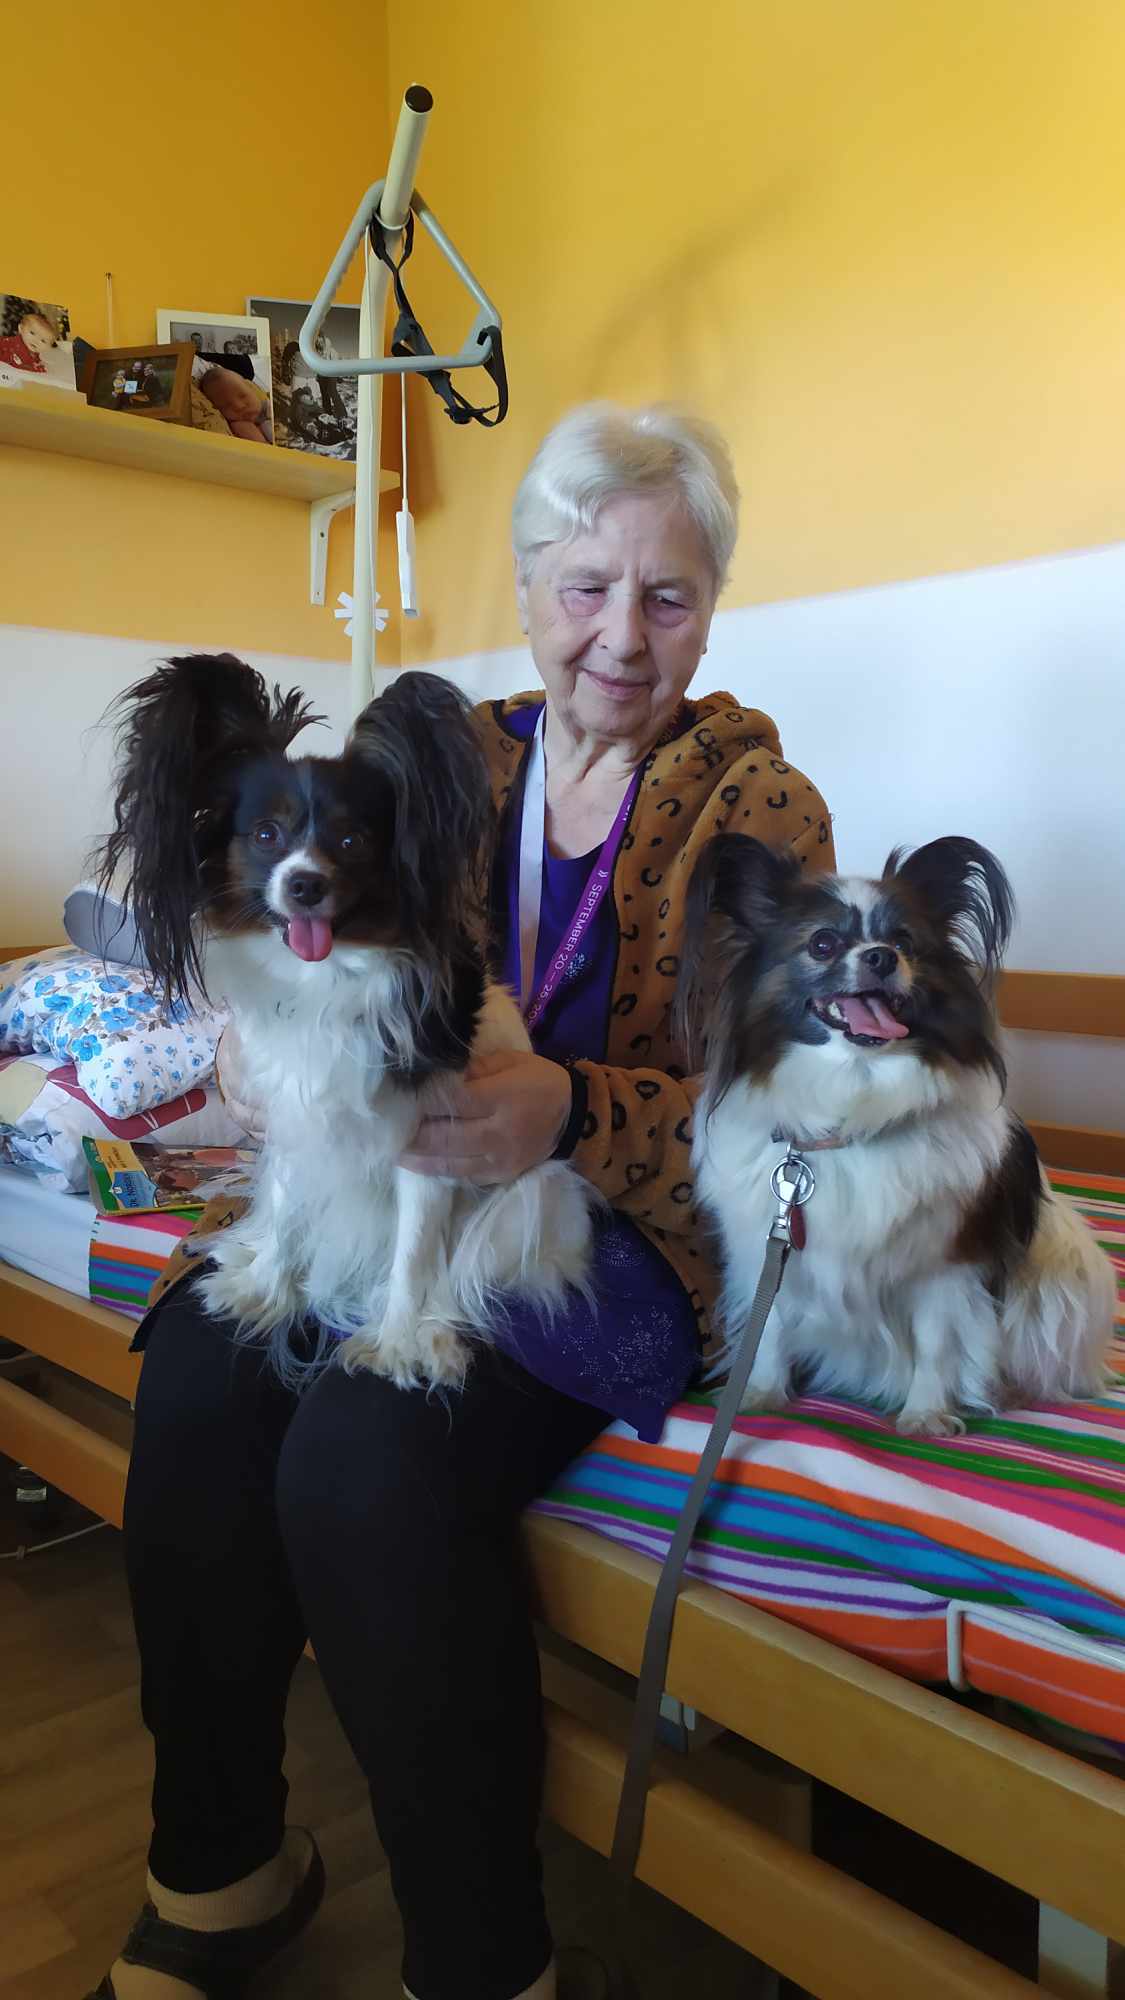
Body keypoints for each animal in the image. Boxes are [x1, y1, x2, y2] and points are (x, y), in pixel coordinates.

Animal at [98, 653, 592, 1390]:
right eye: (265, 835)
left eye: (352, 840)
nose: (305, 884)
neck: (325, 981)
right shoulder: (296, 1118)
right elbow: (290, 1215)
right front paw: (265, 1290)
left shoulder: (431, 1148)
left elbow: (413, 1253)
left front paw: (397, 1343)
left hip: (528, 1199)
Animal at [678, 833, 1113, 1434]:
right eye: (822, 944)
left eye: (904, 941)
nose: (881, 956)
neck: (853, 1110)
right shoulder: (764, 1251)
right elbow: (768, 1330)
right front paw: (760, 1395)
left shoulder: (948, 1263)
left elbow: (936, 1341)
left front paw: (926, 1415)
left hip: (1056, 1288)